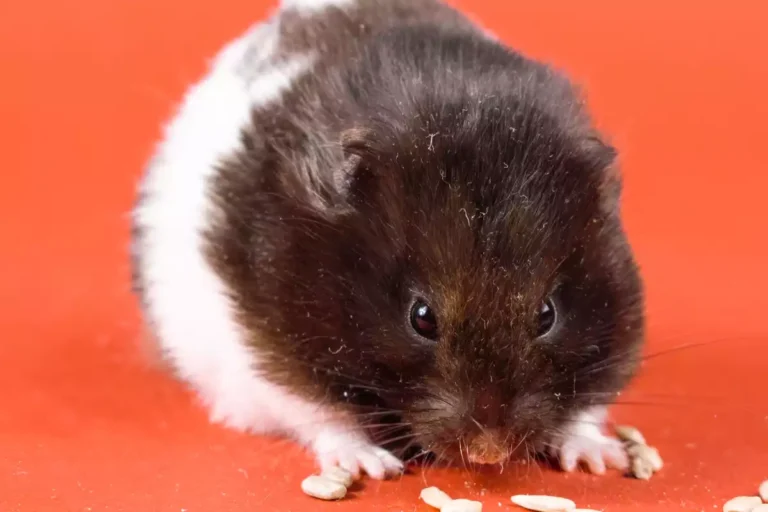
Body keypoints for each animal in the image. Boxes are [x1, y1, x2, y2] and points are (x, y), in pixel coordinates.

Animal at [131, 0, 644, 480]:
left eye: (546, 315)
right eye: (422, 318)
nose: (489, 453)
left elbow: (587, 407)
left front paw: (600, 458)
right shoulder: (269, 352)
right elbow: (323, 415)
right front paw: (369, 466)